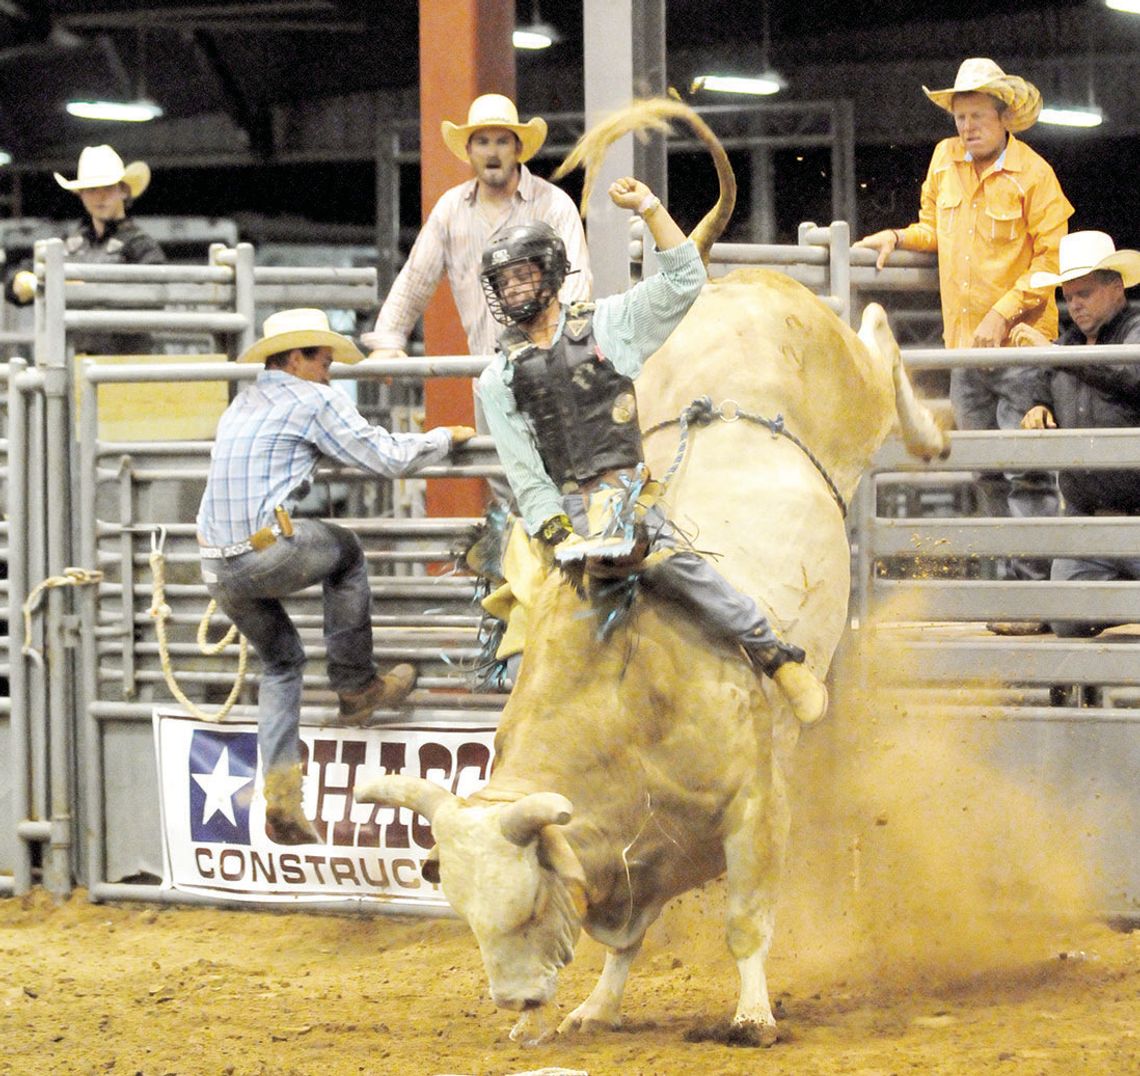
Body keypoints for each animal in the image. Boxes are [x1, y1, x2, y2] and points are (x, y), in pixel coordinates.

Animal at [353, 98, 943, 1044]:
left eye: (525, 905)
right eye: (467, 915)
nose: (513, 1002)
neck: (625, 699)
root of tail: (725, 285)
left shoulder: (754, 808)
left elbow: (746, 922)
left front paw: (751, 1013)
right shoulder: (643, 851)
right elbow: (624, 937)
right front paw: (595, 1006)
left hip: (851, 392)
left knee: (881, 339)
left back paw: (929, 425)